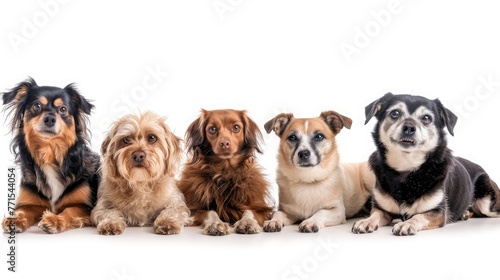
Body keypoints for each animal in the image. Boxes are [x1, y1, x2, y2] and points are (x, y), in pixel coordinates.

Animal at [0, 77, 100, 233]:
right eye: (37, 106)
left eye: (63, 109)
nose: (50, 119)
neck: (49, 156)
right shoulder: (29, 203)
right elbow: (22, 211)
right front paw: (15, 219)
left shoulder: (84, 206)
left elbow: (69, 211)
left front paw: (54, 220)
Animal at [352, 93, 500, 235]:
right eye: (395, 113)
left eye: (426, 118)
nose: (409, 128)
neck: (407, 167)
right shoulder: (382, 209)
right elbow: (375, 215)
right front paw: (365, 221)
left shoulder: (438, 212)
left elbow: (418, 216)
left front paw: (407, 224)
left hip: (487, 203)